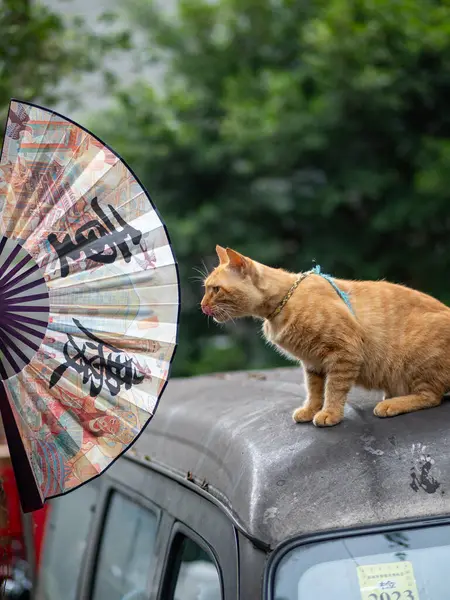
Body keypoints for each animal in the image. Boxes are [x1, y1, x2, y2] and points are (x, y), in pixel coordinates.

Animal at [200, 245, 450, 426]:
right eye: (205, 288)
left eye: (215, 289)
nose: (202, 306)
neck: (283, 302)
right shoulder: (312, 363)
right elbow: (314, 390)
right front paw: (311, 410)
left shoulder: (344, 353)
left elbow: (334, 389)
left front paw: (330, 413)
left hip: (419, 361)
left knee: (431, 396)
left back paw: (393, 404)